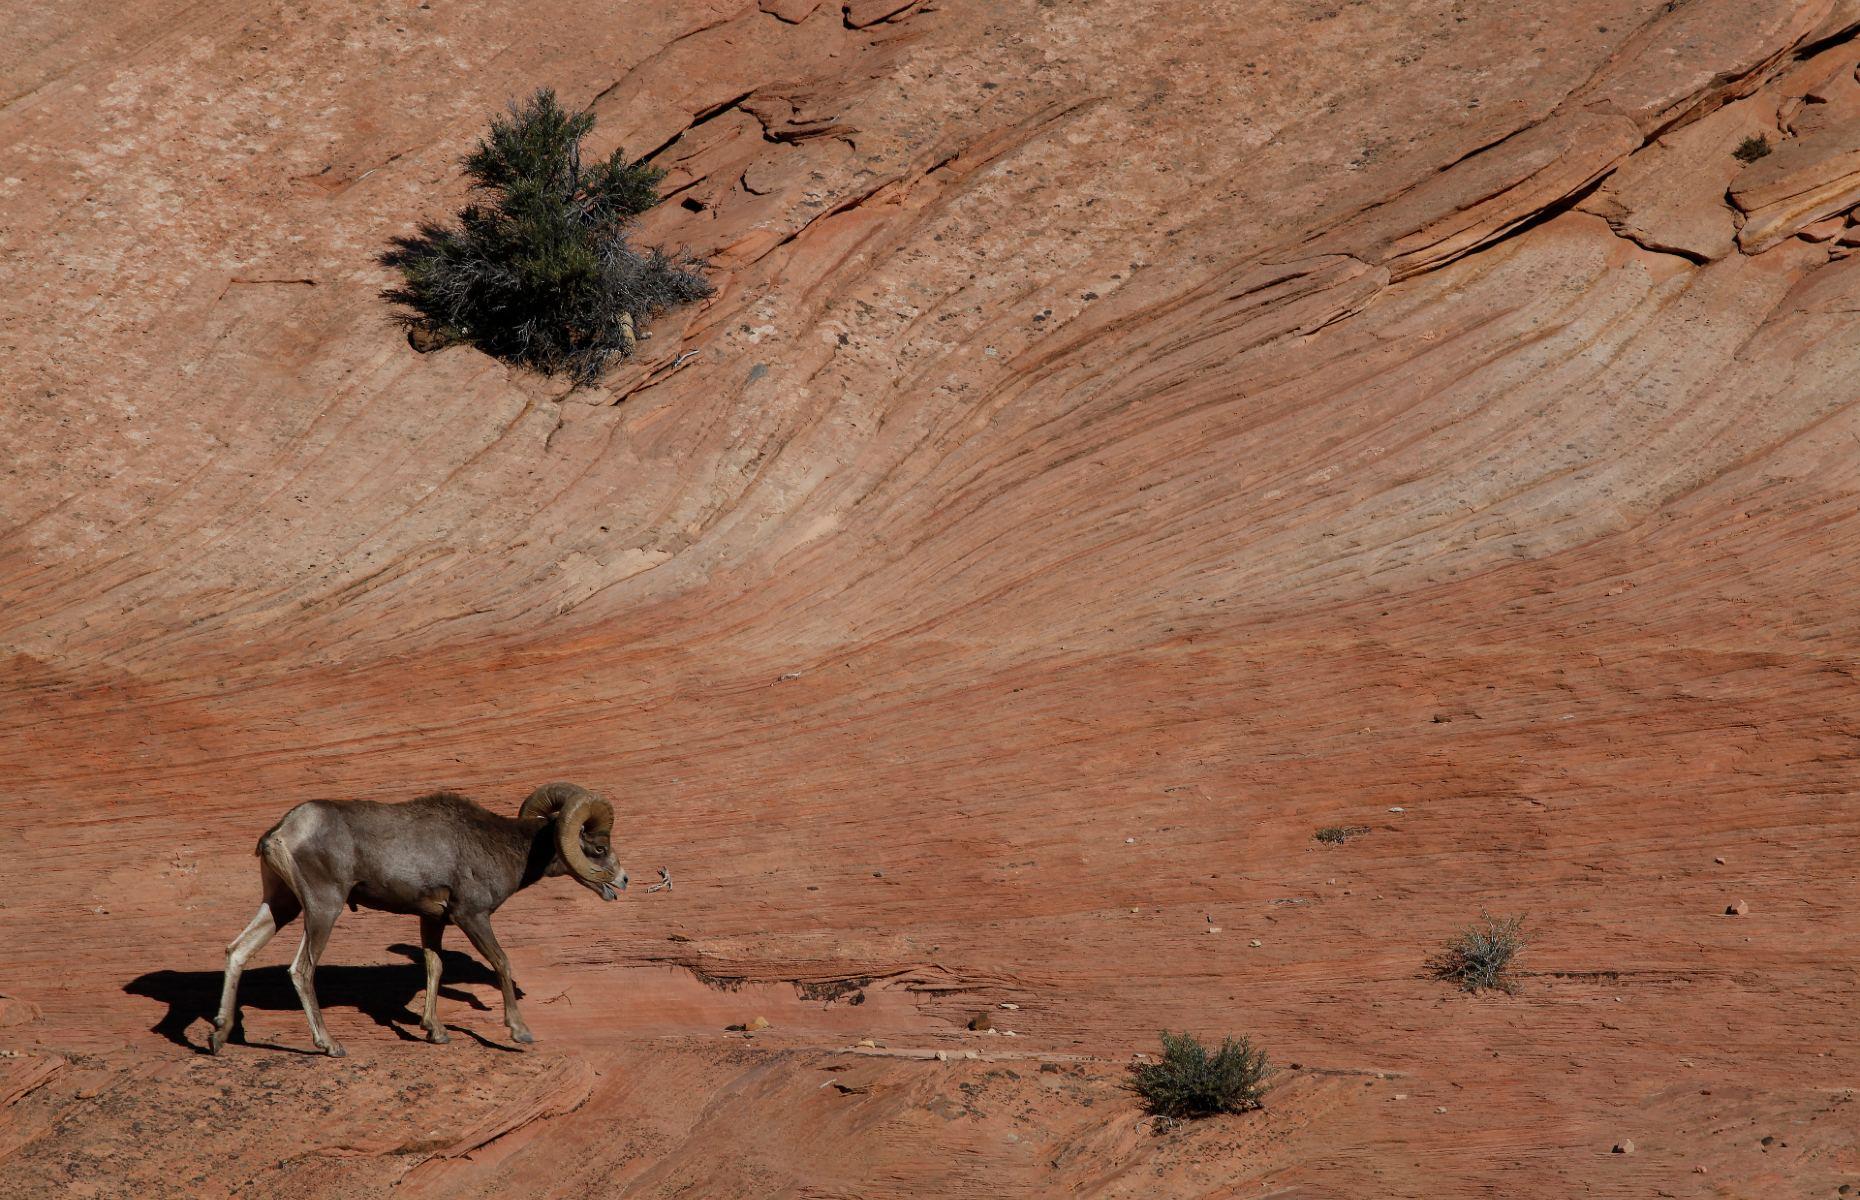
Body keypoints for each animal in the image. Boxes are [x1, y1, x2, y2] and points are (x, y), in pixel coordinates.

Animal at [207, 781, 621, 1056]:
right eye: (599, 848)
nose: (622, 882)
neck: (500, 847)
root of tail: (282, 832)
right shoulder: (472, 915)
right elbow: (502, 962)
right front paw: (519, 1032)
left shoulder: (432, 919)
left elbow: (434, 967)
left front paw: (435, 1031)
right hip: (323, 907)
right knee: (302, 969)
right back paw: (329, 1044)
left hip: (281, 905)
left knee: (237, 951)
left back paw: (218, 1037)